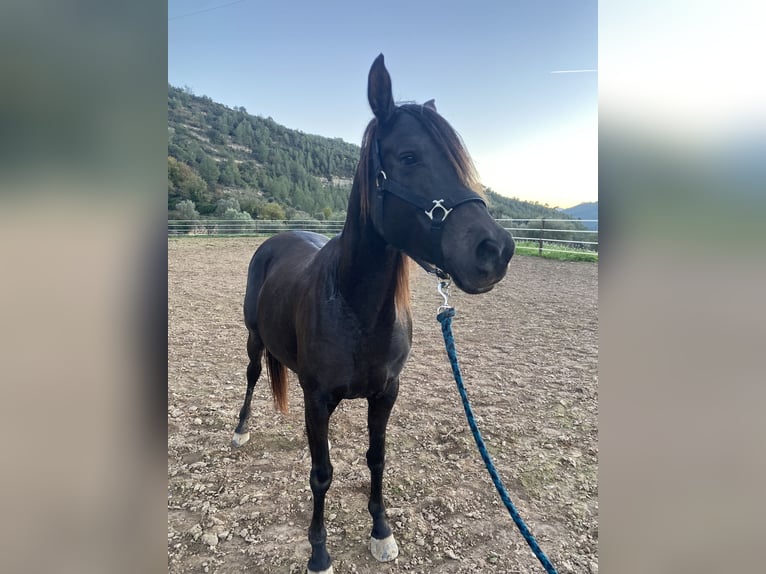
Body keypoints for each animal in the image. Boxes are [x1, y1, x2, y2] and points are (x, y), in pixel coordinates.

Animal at [231, 53, 512, 572]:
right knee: (253, 375)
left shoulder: (386, 394)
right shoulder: (317, 398)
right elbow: (321, 473)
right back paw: (239, 431)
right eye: (408, 157)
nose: (495, 250)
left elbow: (376, 459)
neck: (356, 309)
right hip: (254, 339)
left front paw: (381, 531)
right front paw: (319, 551)